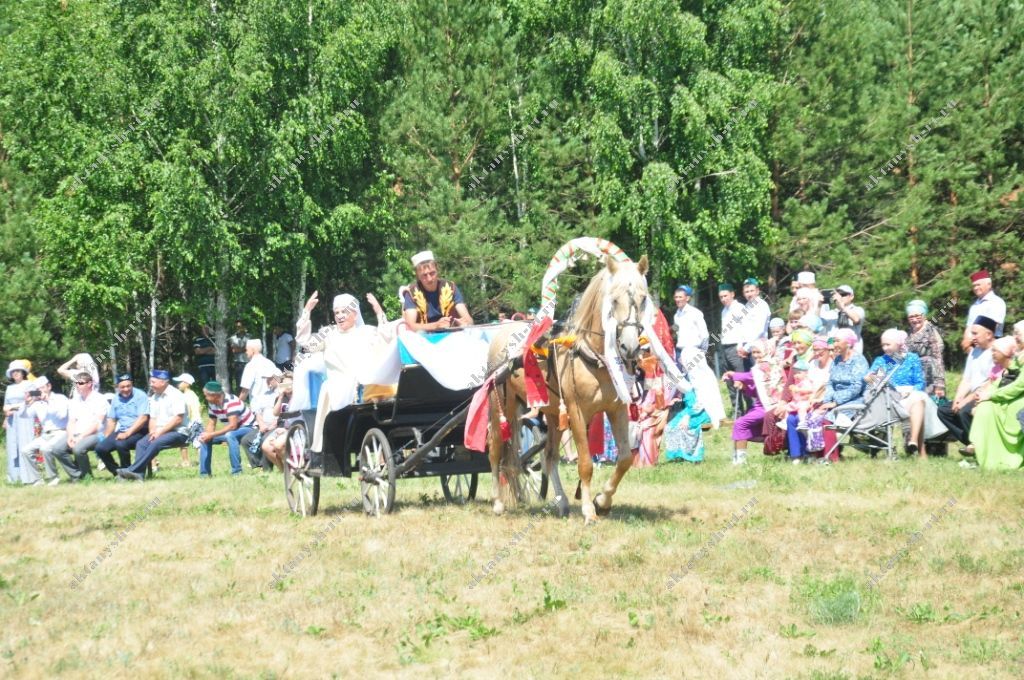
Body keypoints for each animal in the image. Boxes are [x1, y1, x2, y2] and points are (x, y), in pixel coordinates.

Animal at [485, 253, 647, 520]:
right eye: (613, 300)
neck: (590, 354)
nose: (630, 347)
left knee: (549, 457)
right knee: (496, 448)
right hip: (501, 406)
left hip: (552, 414)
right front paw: (589, 511)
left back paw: (561, 503)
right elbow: (585, 463)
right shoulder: (576, 412)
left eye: (644, 299)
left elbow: (624, 459)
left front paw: (602, 500)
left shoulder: (617, 410)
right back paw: (497, 502)